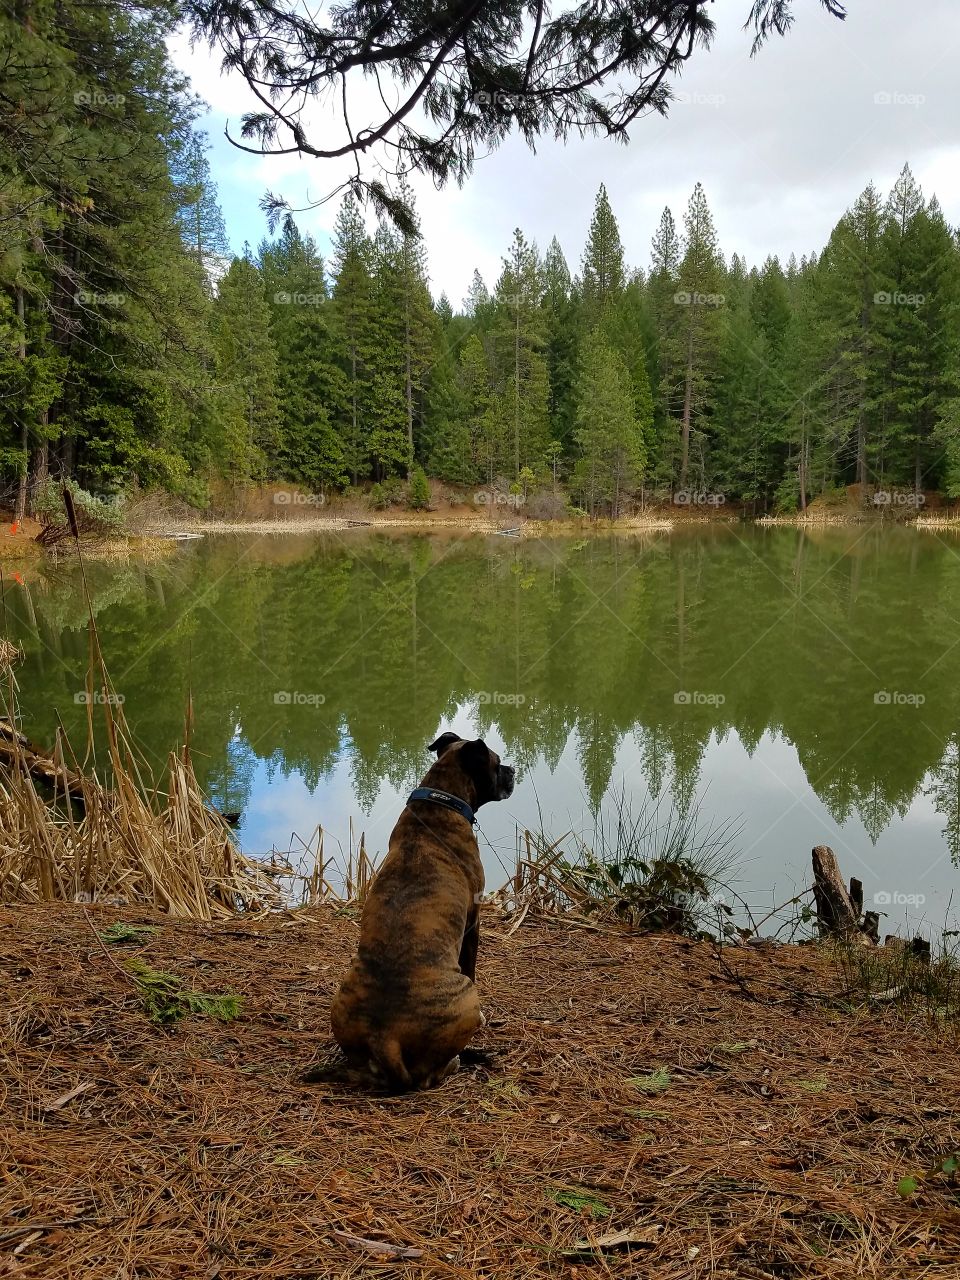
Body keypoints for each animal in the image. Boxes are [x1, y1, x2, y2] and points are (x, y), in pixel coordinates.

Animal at [325, 732, 519, 1090]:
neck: (440, 801)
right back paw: (457, 1061)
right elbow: (471, 963)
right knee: (430, 1074)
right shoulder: (473, 921)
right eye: (497, 764)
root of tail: (384, 1039)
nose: (512, 770)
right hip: (464, 995)